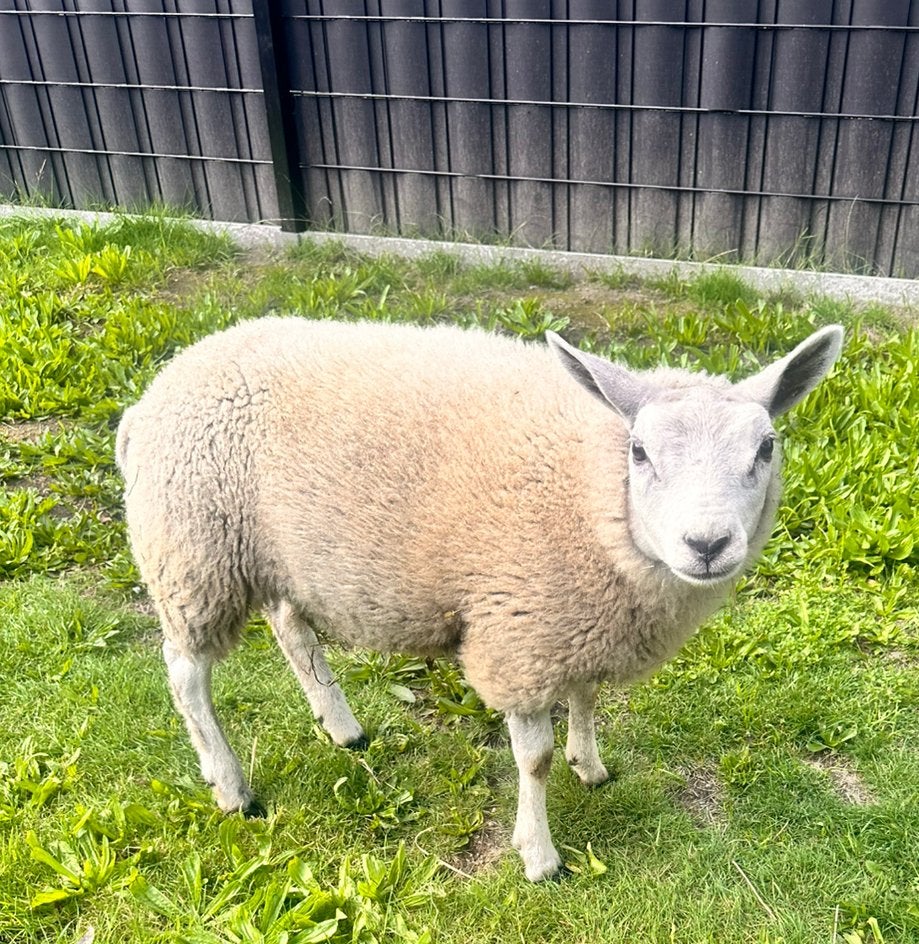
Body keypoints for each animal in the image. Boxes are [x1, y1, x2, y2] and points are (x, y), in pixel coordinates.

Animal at [116, 316, 843, 882]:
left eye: (765, 447)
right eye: (639, 452)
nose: (707, 543)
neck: (590, 495)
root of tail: (155, 391)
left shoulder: (577, 620)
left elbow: (586, 698)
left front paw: (590, 765)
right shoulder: (521, 633)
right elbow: (534, 759)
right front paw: (540, 857)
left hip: (281, 555)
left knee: (293, 630)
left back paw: (343, 729)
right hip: (193, 552)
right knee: (185, 673)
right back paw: (230, 786)